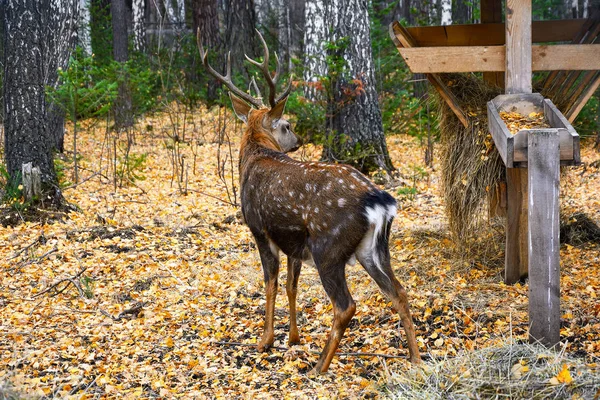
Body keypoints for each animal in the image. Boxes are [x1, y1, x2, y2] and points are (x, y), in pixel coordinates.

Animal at [198, 28, 422, 376]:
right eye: (288, 126)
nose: (298, 140)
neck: (254, 158)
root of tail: (380, 200)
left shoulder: (260, 229)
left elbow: (271, 283)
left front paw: (265, 341)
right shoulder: (293, 240)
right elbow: (292, 286)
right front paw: (293, 337)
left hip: (327, 245)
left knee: (346, 305)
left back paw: (319, 366)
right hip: (373, 248)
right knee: (398, 290)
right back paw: (415, 359)